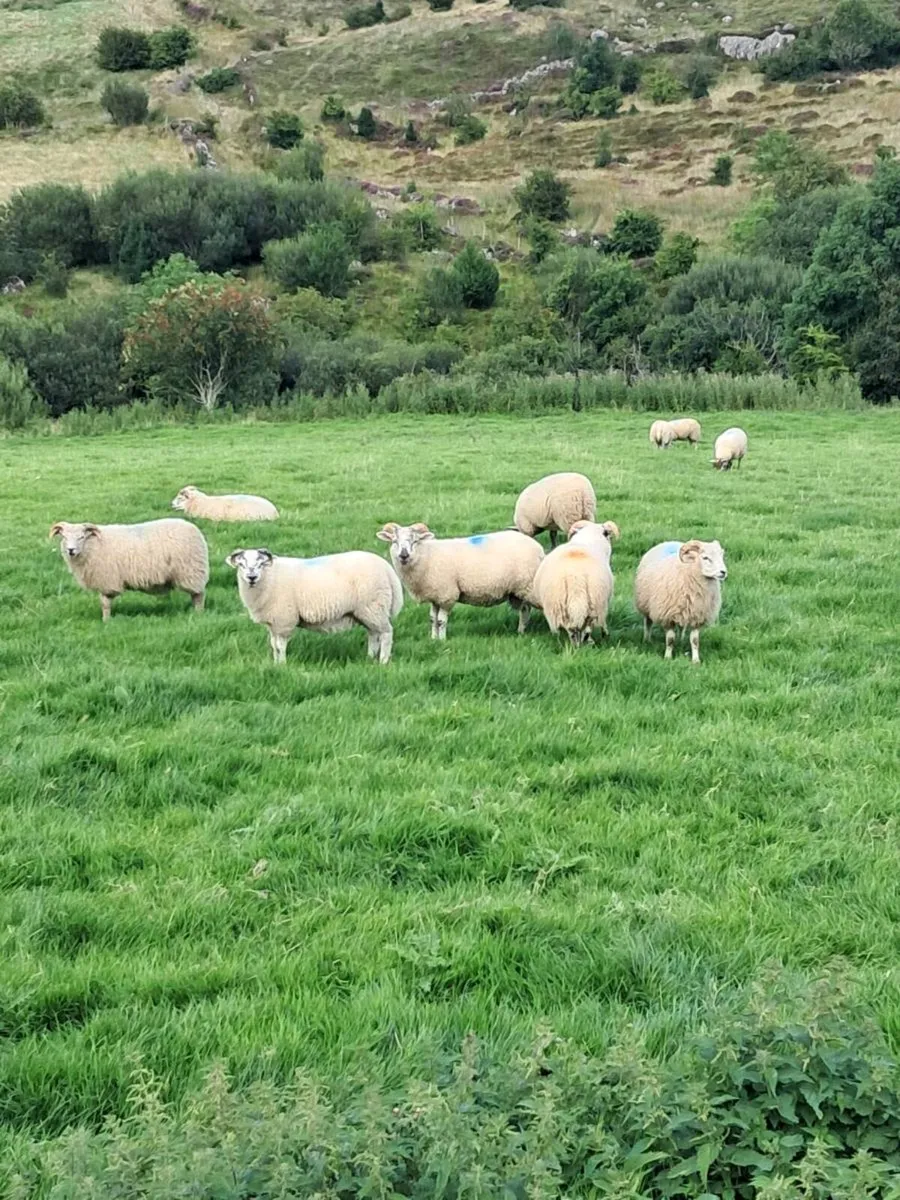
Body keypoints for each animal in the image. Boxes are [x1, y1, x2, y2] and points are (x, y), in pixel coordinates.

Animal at [50, 519, 209, 622]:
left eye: (81, 537)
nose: (71, 550)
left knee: (198, 595)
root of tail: (195, 529)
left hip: (191, 572)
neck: (92, 546)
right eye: (64, 537)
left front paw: (106, 621)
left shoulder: (107, 580)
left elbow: (105, 604)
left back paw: (199, 614)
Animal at [227, 547, 402, 664]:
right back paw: (370, 658)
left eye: (261, 564)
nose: (251, 577)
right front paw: (276, 664)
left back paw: (383, 661)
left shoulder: (284, 620)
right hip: (368, 611)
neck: (269, 578)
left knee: (386, 634)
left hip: (374, 606)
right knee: (373, 634)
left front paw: (282, 665)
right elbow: (274, 645)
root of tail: (387, 569)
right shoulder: (274, 623)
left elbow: (280, 646)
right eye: (241, 564)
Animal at [376, 523, 544, 640]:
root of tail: (538, 547)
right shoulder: (435, 596)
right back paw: (521, 631)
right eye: (394, 541)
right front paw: (433, 638)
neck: (427, 556)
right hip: (519, 590)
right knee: (525, 609)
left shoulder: (447, 595)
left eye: (415, 541)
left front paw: (442, 640)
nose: (404, 555)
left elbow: (441, 621)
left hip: (528, 585)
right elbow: (432, 619)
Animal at [532, 519, 620, 648]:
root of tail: (575, 578)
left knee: (572, 629)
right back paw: (587, 642)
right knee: (586, 628)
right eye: (606, 534)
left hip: (560, 605)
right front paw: (605, 634)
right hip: (594, 603)